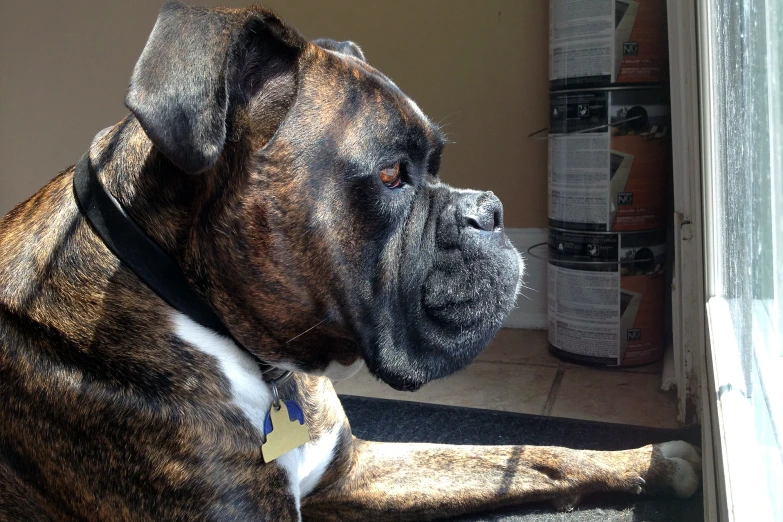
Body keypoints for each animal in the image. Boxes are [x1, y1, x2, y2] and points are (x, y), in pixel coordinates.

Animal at [0, 2, 700, 516]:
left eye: (436, 162)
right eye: (391, 176)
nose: (491, 209)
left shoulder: (355, 467)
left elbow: (530, 452)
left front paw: (653, 461)